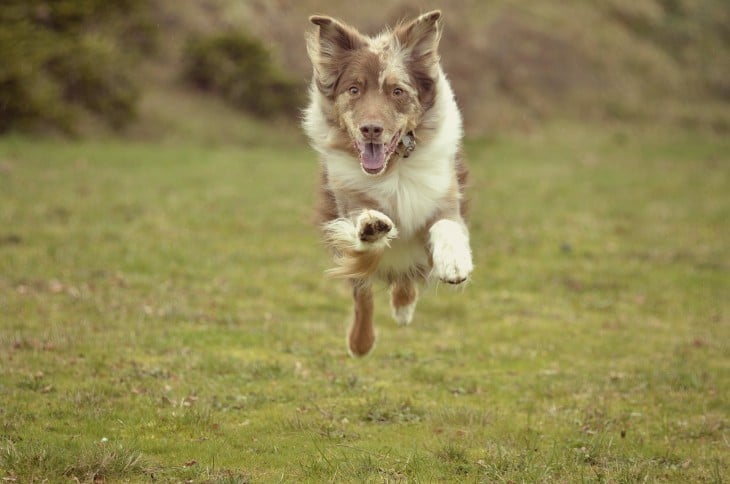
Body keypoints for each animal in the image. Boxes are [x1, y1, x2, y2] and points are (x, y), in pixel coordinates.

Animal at [302, 10, 472, 356]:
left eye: (397, 91)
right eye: (354, 89)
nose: (370, 129)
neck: (393, 169)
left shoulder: (445, 200)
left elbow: (445, 225)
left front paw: (454, 264)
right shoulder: (347, 210)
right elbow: (366, 249)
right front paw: (372, 227)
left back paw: (404, 309)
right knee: (364, 291)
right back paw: (361, 342)